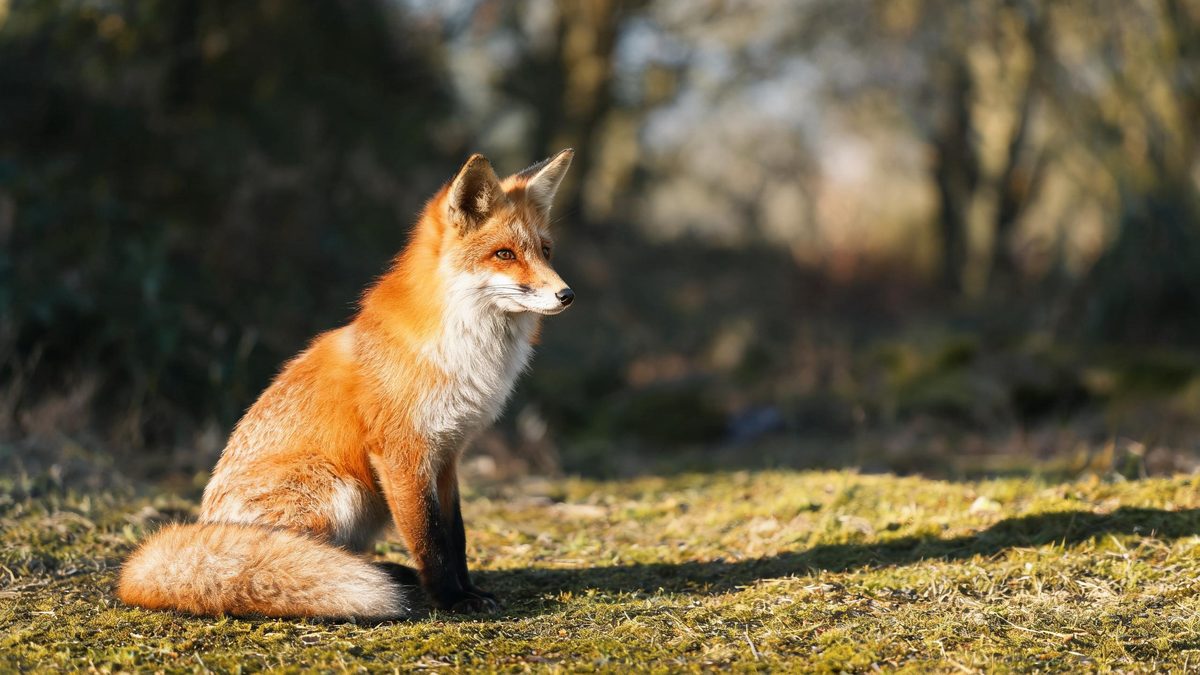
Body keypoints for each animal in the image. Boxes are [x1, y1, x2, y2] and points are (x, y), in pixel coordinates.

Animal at [117, 150, 577, 619]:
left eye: (545, 251)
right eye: (504, 254)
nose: (567, 295)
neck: (462, 355)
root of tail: (206, 523)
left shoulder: (448, 454)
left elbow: (456, 535)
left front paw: (468, 589)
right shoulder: (403, 454)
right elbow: (430, 539)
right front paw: (451, 598)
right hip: (345, 490)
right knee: (307, 557)